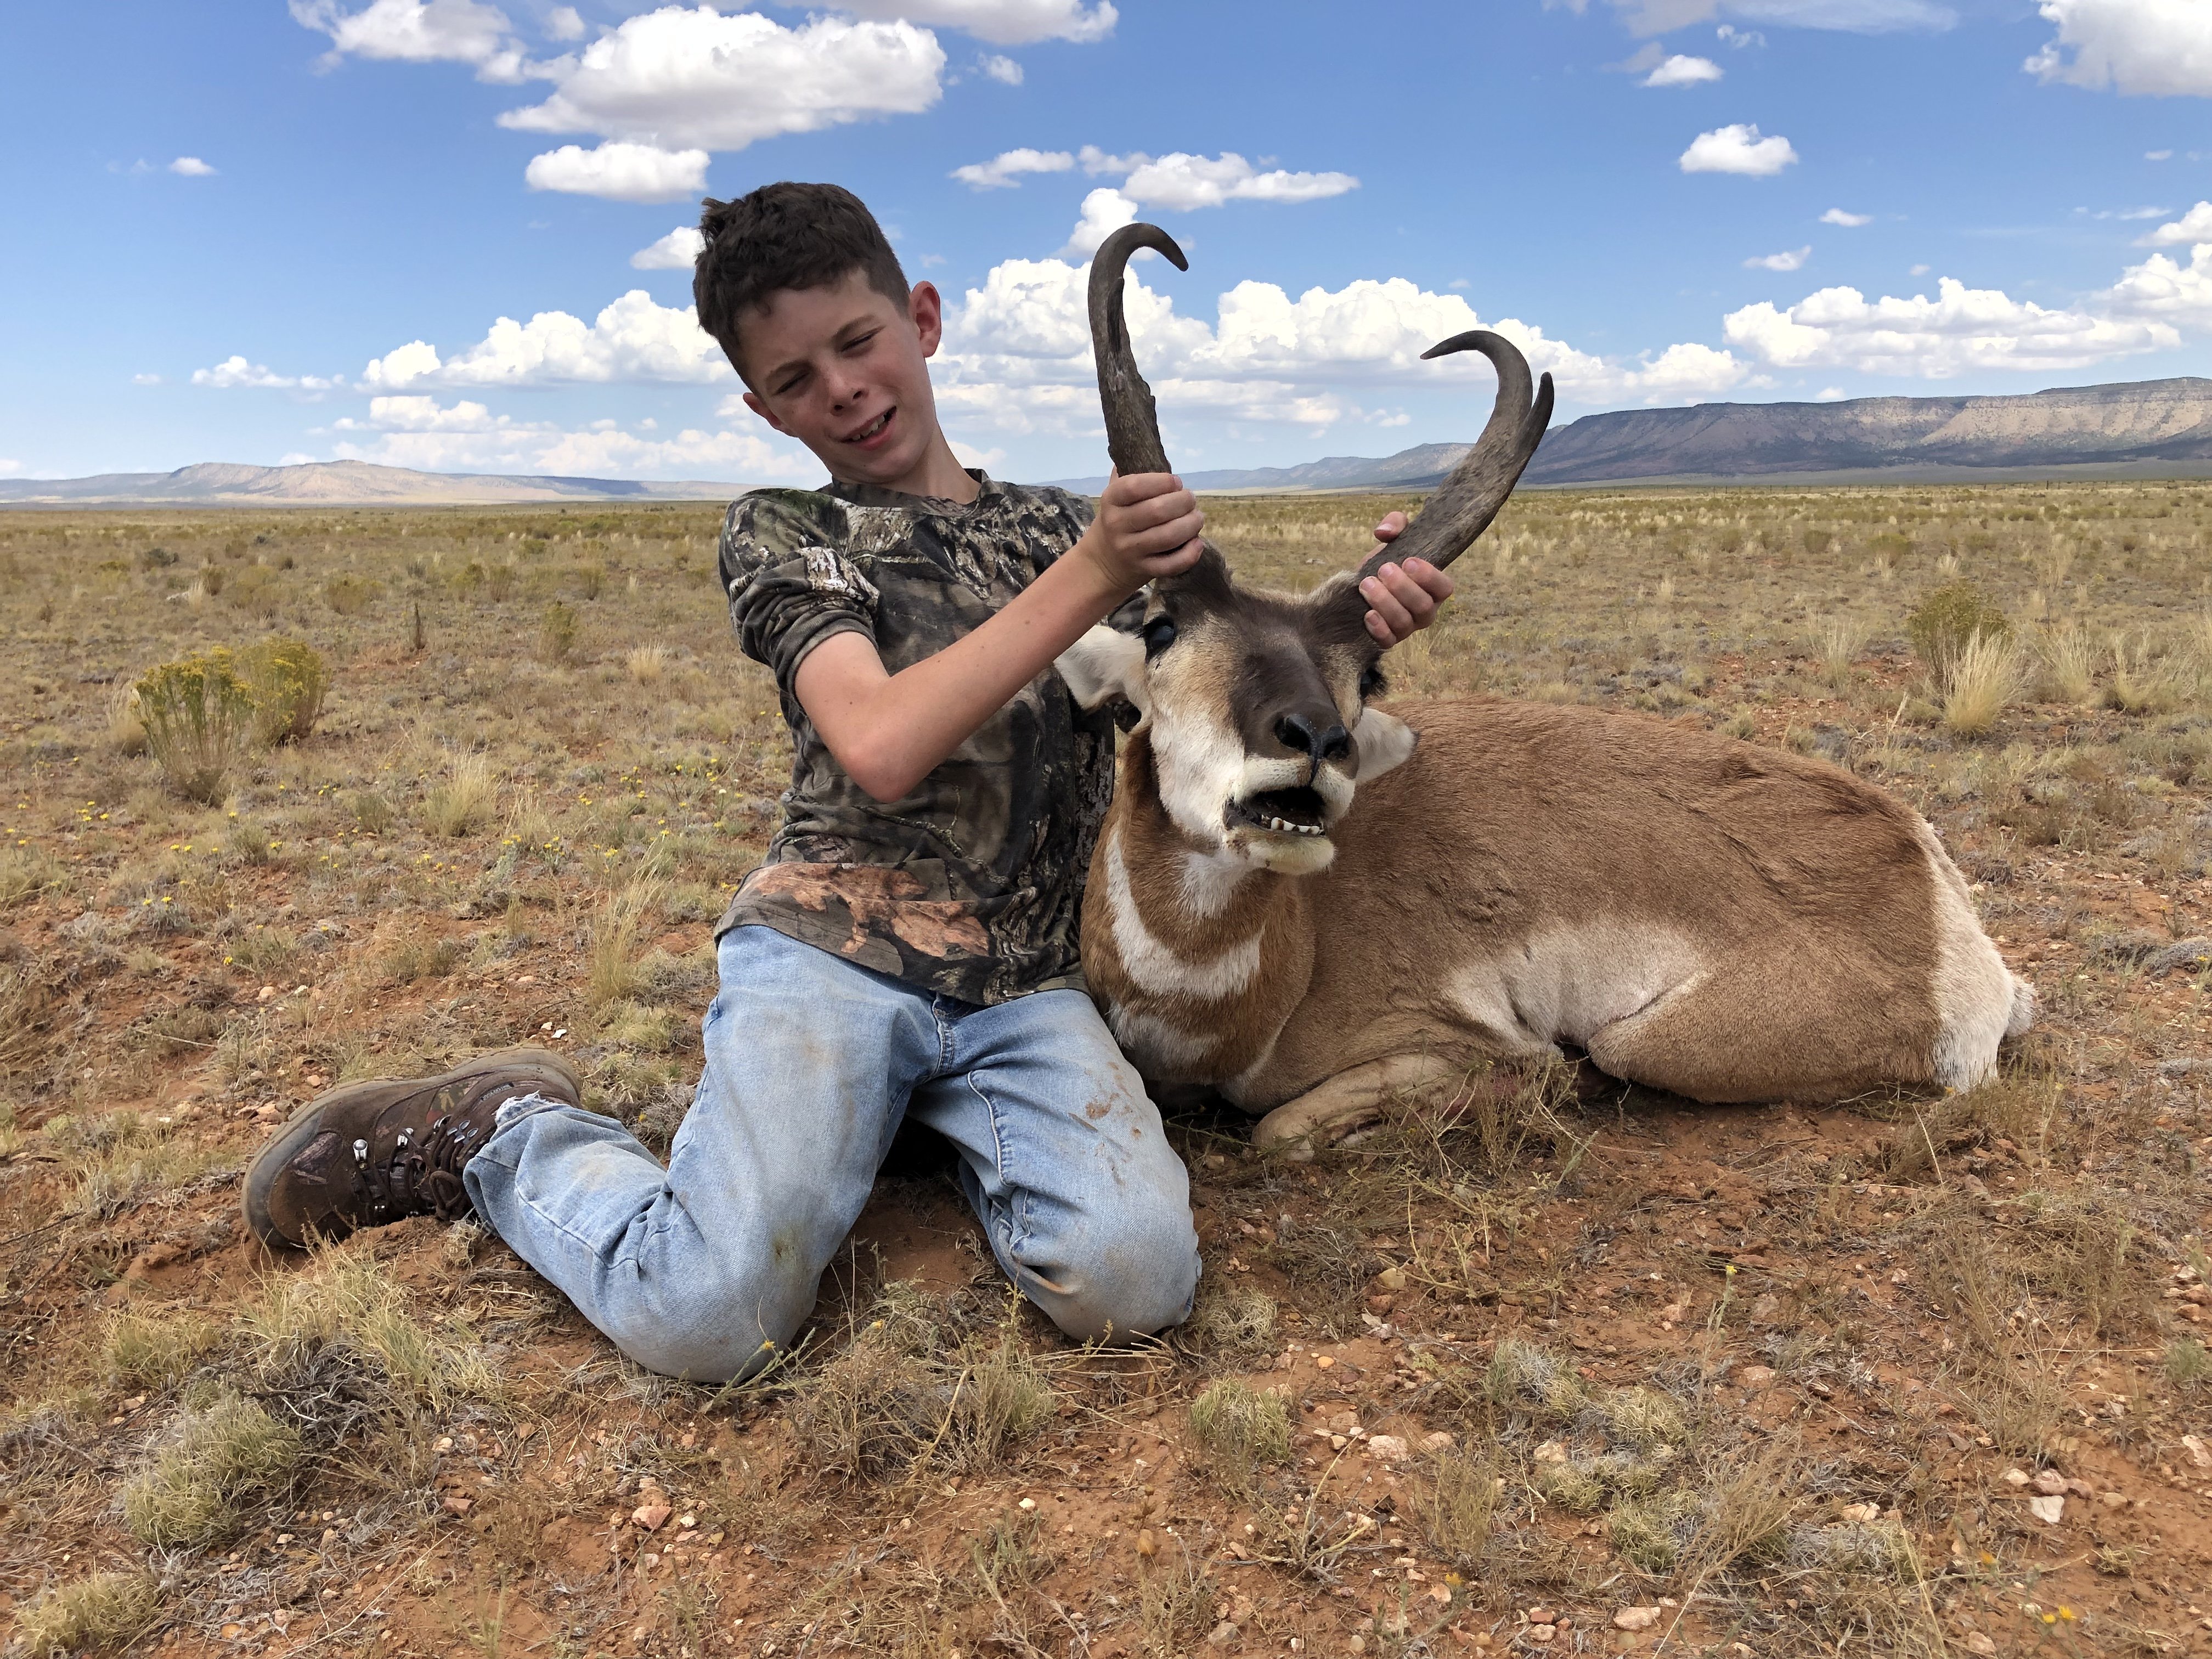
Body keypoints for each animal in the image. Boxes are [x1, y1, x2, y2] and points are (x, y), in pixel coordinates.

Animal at [1056, 223, 2034, 1155]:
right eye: (1159, 626)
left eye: (1370, 672)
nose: (1315, 744)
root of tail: (1916, 854)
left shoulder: (1456, 1041)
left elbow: (1283, 1130)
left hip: (1655, 1040)